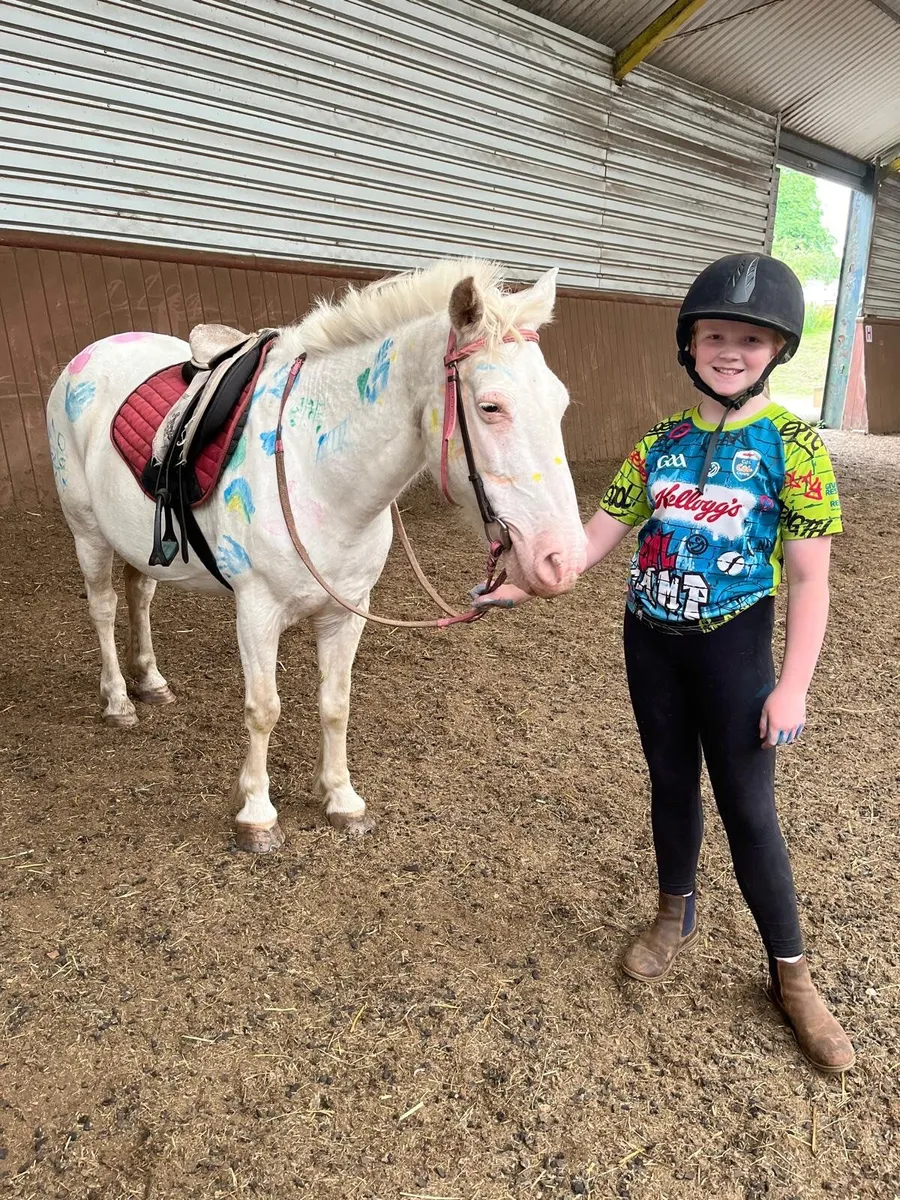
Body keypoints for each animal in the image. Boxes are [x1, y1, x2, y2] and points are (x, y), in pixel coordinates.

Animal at [46, 259, 587, 850]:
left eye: (560, 401)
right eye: (490, 405)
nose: (562, 559)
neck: (316, 467)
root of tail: (89, 355)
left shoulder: (346, 610)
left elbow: (336, 704)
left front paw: (342, 799)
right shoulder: (256, 611)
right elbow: (264, 709)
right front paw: (257, 815)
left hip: (140, 542)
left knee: (139, 595)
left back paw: (150, 681)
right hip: (88, 530)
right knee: (103, 609)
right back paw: (119, 700)